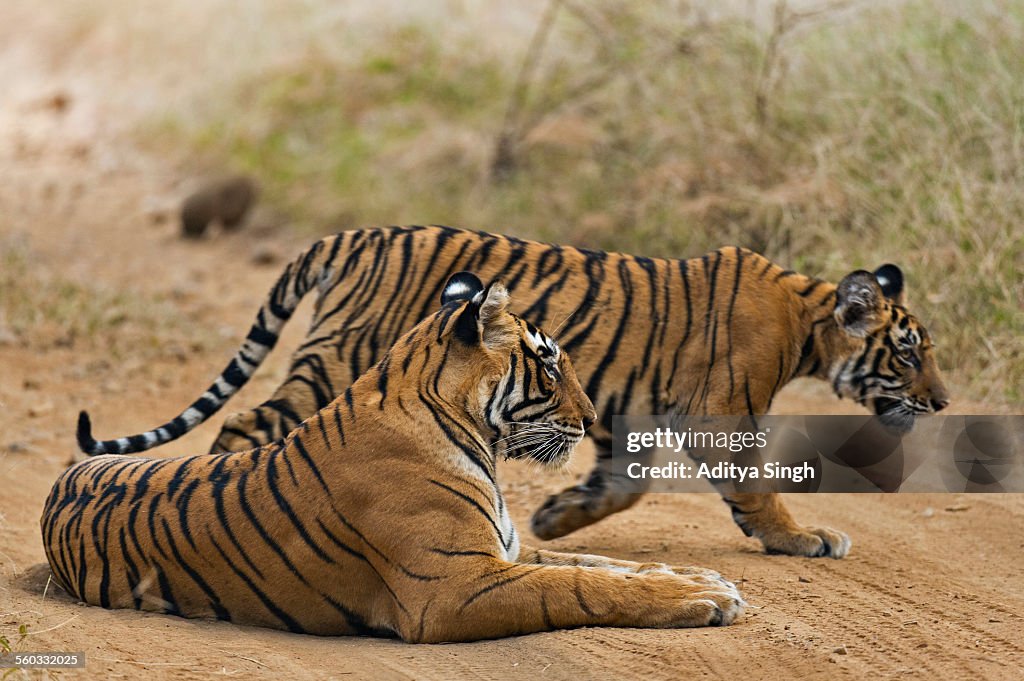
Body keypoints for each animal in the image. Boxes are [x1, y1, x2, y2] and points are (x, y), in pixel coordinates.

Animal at [41, 274, 745, 639]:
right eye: (549, 365)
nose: (594, 418)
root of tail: (66, 478)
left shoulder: (502, 552)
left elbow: (603, 562)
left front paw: (698, 577)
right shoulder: (456, 587)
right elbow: (579, 586)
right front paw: (703, 598)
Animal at [75, 225, 946, 557]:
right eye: (907, 354)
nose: (940, 403)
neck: (808, 320)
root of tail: (351, 234)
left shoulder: (626, 414)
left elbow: (621, 484)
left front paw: (557, 517)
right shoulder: (722, 414)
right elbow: (758, 490)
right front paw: (804, 538)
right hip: (337, 357)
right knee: (244, 424)